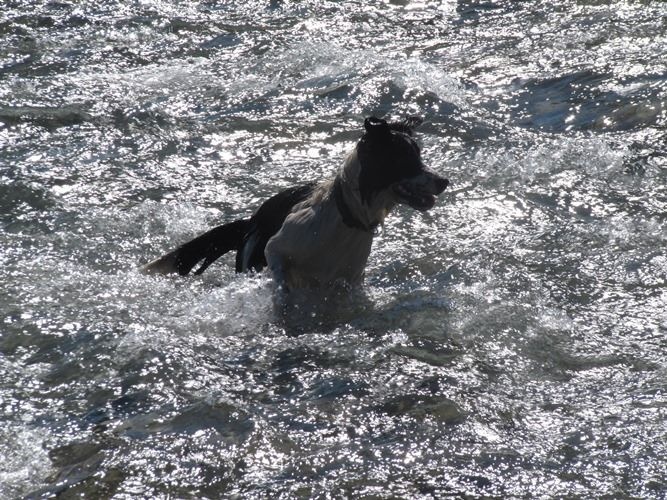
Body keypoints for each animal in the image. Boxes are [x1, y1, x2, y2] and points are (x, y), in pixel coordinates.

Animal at [144, 116, 452, 290]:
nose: (444, 181)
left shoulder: (349, 279)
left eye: (419, 156)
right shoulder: (276, 249)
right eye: (404, 159)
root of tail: (251, 220)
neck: (346, 217)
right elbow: (282, 283)